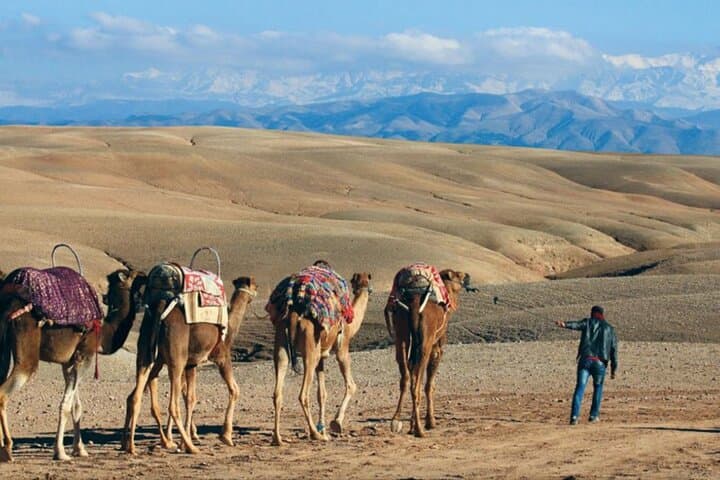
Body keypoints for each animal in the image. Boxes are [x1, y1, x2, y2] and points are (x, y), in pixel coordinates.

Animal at [0, 269, 147, 462]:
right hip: (27, 352)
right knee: (4, 393)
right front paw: (61, 452)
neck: (103, 333)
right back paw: (7, 449)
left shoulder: (69, 362)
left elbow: (76, 406)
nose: (144, 274)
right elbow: (66, 406)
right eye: (132, 275)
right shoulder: (85, 355)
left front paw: (80, 449)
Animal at [122, 275, 257, 455]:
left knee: (134, 396)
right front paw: (225, 436)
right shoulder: (221, 356)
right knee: (172, 405)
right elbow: (234, 390)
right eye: (255, 286)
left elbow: (191, 398)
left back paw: (130, 446)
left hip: (147, 354)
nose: (256, 292)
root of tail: (160, 309)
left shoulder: (191, 364)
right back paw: (189, 447)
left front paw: (185, 438)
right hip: (175, 359)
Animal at [269, 271, 372, 446]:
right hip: (310, 350)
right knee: (303, 394)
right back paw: (315, 434)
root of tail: (294, 314)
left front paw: (324, 428)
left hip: (282, 341)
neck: (351, 325)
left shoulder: (322, 358)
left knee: (278, 391)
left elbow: (322, 394)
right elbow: (351, 385)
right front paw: (336, 423)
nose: (366, 288)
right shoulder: (342, 349)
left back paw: (278, 438)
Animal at [386, 269, 471, 438]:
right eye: (458, 275)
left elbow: (413, 375)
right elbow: (429, 384)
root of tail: (414, 305)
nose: (467, 276)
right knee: (416, 384)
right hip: (425, 341)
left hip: (401, 334)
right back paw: (419, 430)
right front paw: (430, 421)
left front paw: (411, 424)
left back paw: (396, 421)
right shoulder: (437, 345)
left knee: (406, 378)